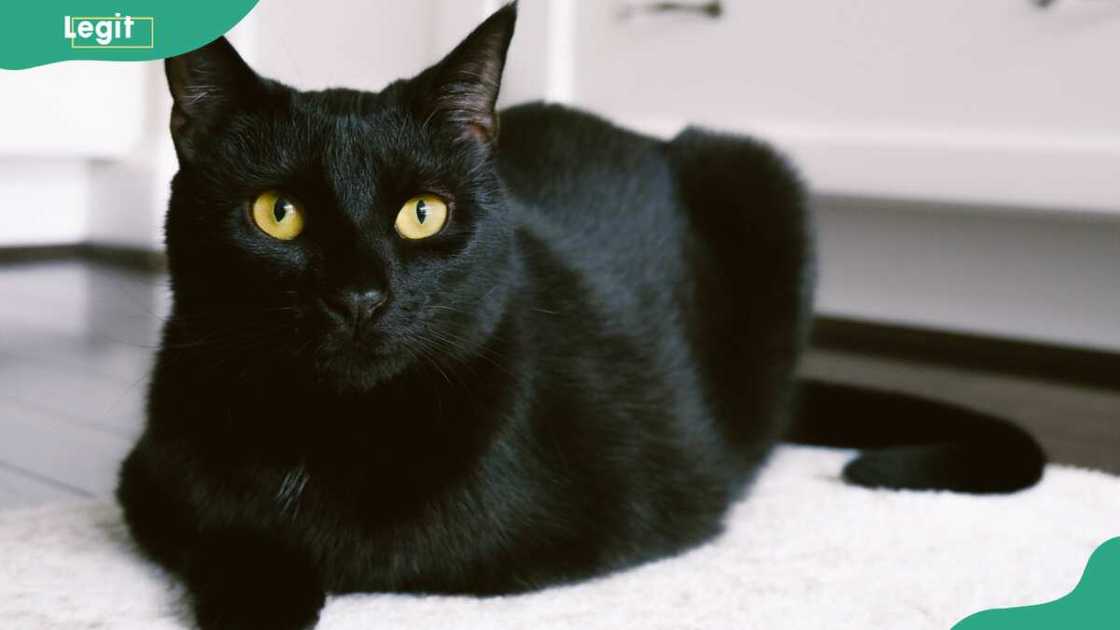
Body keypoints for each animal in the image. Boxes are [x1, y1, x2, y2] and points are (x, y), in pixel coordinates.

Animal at [118, 2, 1043, 623]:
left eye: (423, 213)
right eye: (277, 214)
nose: (359, 294)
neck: (332, 433)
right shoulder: (151, 480)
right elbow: (224, 536)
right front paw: (261, 588)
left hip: (759, 174)